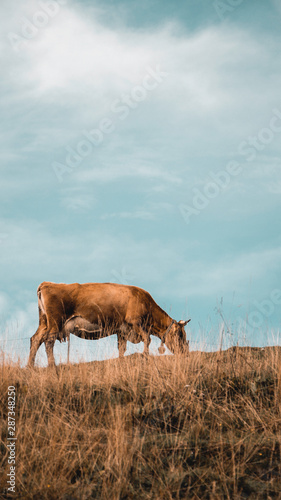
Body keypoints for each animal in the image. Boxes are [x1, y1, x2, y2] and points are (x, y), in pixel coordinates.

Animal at [27, 282, 190, 368]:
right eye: (180, 335)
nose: (185, 353)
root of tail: (47, 284)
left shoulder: (122, 330)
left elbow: (122, 348)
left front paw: (121, 361)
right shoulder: (135, 322)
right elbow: (147, 339)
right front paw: (145, 355)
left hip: (44, 322)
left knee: (36, 339)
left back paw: (30, 366)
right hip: (55, 322)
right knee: (48, 341)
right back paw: (52, 365)